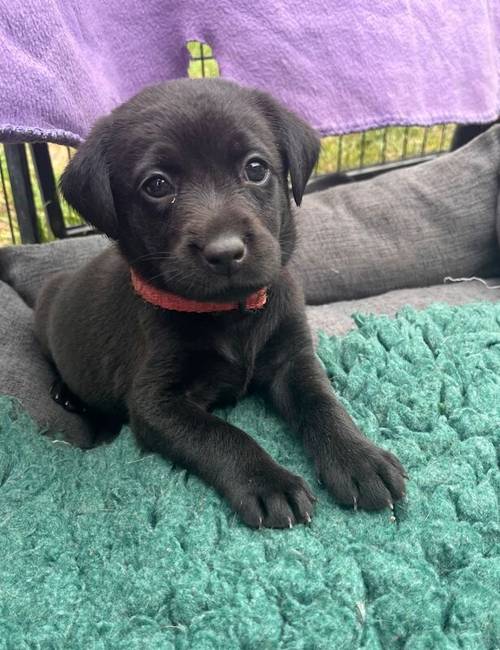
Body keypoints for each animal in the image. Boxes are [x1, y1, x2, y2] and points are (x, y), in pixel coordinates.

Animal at [35, 78, 404, 524]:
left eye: (255, 168)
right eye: (156, 185)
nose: (225, 252)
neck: (231, 314)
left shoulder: (293, 358)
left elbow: (322, 401)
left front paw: (358, 458)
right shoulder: (155, 402)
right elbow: (220, 434)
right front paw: (269, 481)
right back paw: (66, 394)